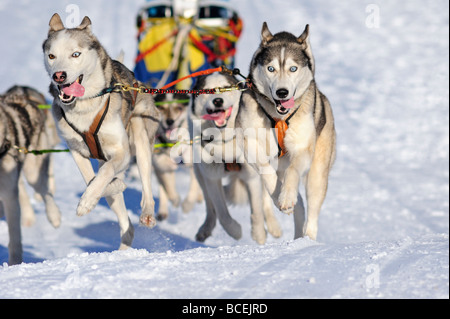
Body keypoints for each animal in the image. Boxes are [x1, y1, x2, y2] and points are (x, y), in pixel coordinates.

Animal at [0, 85, 62, 264]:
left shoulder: (9, 195)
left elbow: (14, 238)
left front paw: (14, 264)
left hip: (32, 172)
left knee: (45, 191)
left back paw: (54, 216)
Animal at [42, 14, 161, 250]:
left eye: (75, 54)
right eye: (52, 56)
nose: (59, 75)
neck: (84, 107)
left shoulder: (121, 152)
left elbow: (105, 173)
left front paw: (86, 202)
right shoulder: (76, 151)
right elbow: (93, 180)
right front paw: (104, 190)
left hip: (140, 135)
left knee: (145, 183)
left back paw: (147, 212)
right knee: (126, 225)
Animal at [191, 73, 282, 245]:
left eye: (226, 88)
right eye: (208, 90)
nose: (217, 101)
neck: (225, 139)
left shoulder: (251, 176)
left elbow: (257, 209)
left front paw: (259, 235)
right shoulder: (212, 178)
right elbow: (222, 213)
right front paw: (235, 230)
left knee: (266, 197)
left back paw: (273, 225)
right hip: (199, 174)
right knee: (210, 207)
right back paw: (205, 228)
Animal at [236, 23, 334, 240]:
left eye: (293, 68)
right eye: (271, 68)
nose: (282, 92)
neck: (278, 117)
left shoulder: (302, 149)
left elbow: (293, 170)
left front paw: (286, 196)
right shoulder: (249, 143)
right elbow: (266, 171)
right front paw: (277, 194)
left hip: (317, 174)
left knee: (312, 209)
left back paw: (307, 238)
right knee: (299, 205)